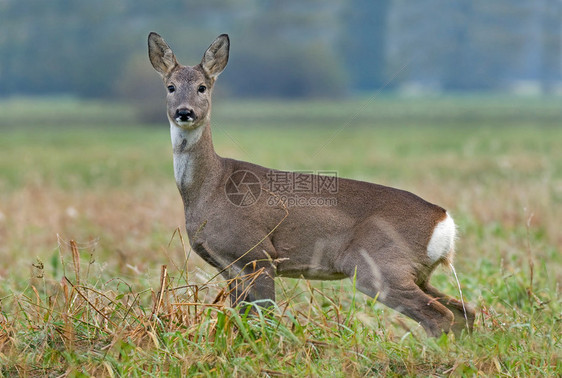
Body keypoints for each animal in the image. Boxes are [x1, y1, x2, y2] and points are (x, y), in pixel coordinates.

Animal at [148, 32, 472, 336]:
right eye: (171, 87)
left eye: (202, 87)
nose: (185, 112)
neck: (211, 187)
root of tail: (444, 220)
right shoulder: (230, 268)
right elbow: (241, 320)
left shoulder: (257, 255)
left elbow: (264, 320)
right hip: (416, 273)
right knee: (465, 312)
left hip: (380, 267)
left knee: (441, 316)